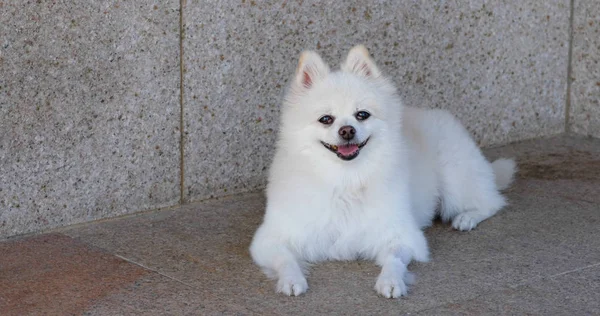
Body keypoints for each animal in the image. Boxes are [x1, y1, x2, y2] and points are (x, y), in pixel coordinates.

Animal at [248, 45, 516, 298]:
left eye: (362, 115)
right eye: (326, 119)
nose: (347, 130)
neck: (345, 179)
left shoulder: (403, 235)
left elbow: (394, 259)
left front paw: (391, 282)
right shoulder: (270, 238)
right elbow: (285, 259)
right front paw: (292, 280)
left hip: (455, 184)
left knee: (491, 201)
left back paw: (466, 218)